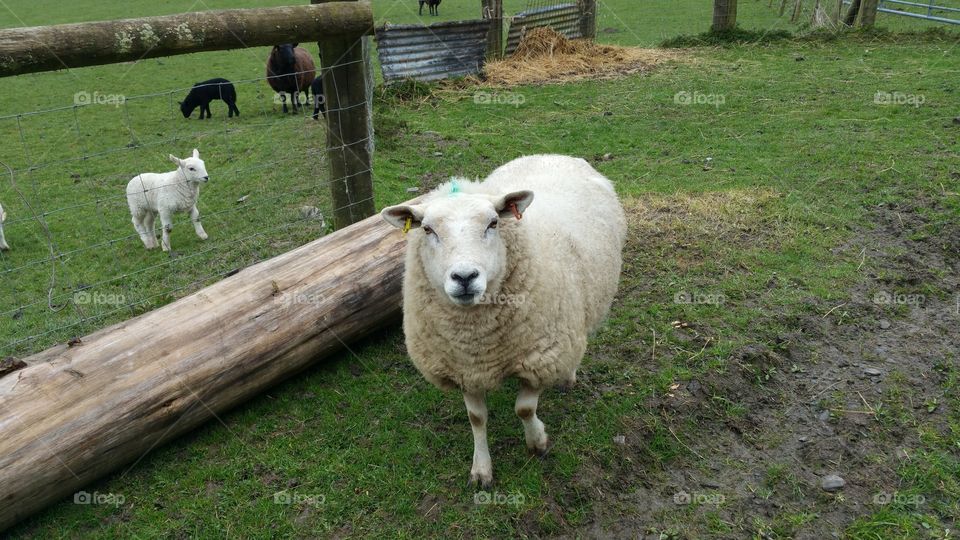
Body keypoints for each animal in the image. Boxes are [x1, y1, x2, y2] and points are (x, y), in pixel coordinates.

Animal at [382, 154, 632, 488]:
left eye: (493, 223)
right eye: (427, 230)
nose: (464, 277)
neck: (477, 339)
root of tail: (552, 155)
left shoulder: (540, 358)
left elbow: (524, 408)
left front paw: (537, 441)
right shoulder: (464, 368)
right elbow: (476, 418)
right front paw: (481, 469)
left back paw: (568, 377)